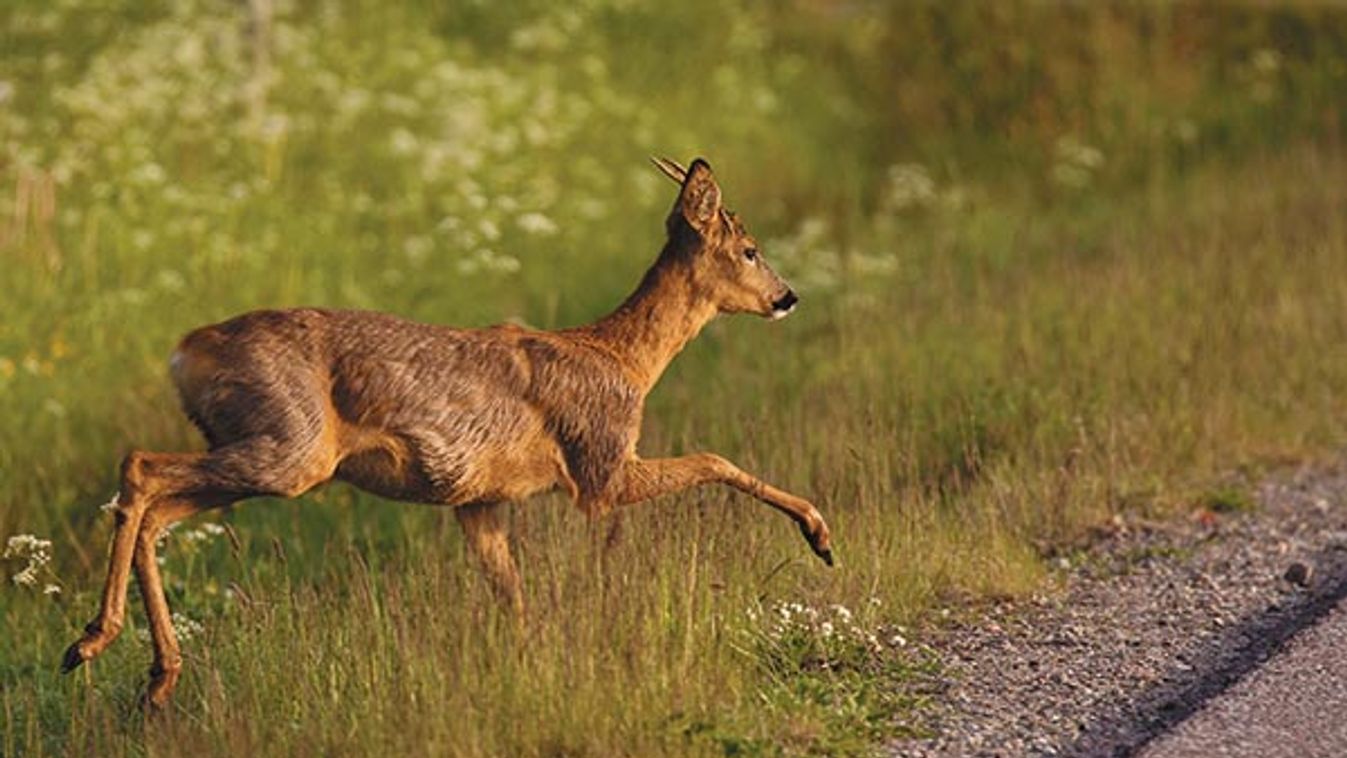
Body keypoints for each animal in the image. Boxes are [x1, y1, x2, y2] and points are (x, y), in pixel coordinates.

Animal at [65, 157, 829, 710]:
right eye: (751, 249)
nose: (788, 297)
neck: (625, 362)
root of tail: (185, 352)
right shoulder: (600, 466)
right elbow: (714, 457)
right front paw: (819, 534)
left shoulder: (479, 501)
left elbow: (513, 598)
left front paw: (529, 672)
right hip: (289, 447)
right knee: (141, 468)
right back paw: (95, 642)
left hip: (262, 450)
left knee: (156, 507)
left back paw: (151, 676)